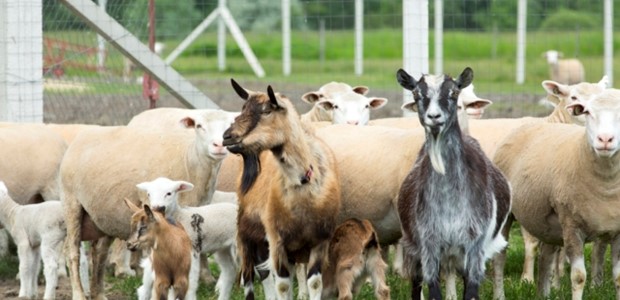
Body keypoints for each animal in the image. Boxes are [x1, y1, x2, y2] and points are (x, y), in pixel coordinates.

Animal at [222, 79, 340, 300]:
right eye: (243, 108)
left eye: (267, 111)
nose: (227, 137)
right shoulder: (277, 241)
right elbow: (283, 285)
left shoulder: (320, 241)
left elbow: (314, 283)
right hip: (247, 234)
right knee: (254, 277)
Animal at [398, 68, 508, 300]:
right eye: (416, 94)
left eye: (454, 93)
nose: (434, 117)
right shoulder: (429, 244)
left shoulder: (475, 245)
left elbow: (471, 290)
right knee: (416, 283)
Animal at [492, 88, 620, 298]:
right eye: (588, 112)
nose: (605, 140)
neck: (606, 185)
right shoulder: (571, 225)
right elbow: (578, 277)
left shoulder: (616, 231)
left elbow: (618, 278)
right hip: (506, 213)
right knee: (499, 257)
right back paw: (499, 295)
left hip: (548, 222)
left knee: (546, 257)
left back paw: (543, 295)